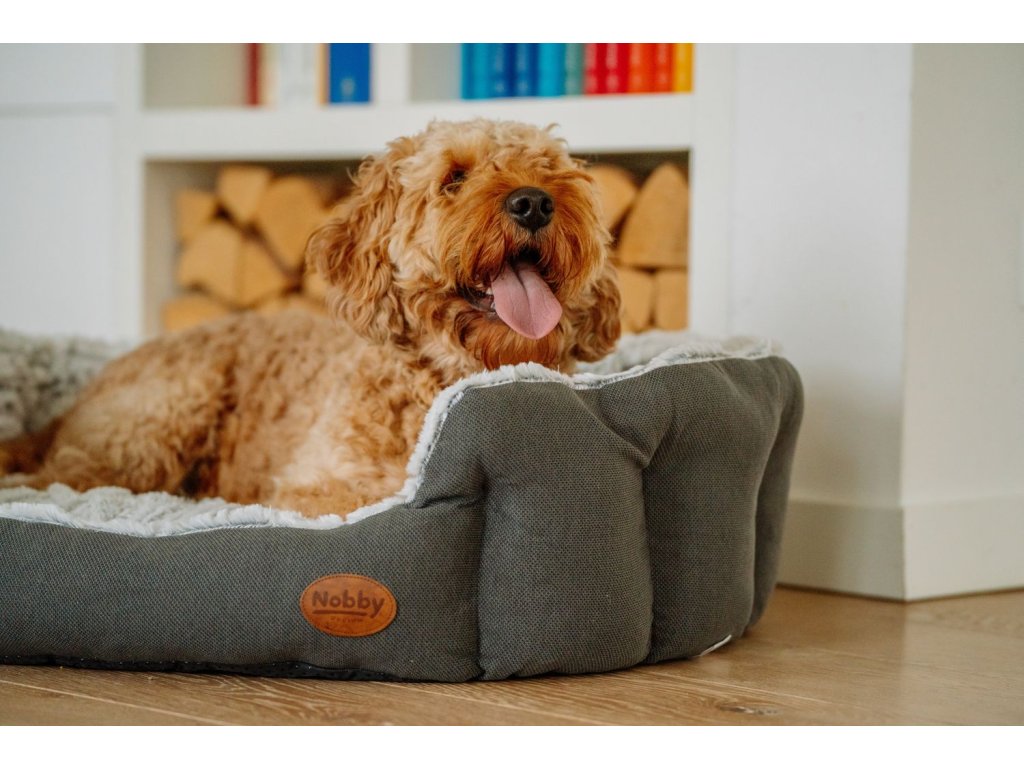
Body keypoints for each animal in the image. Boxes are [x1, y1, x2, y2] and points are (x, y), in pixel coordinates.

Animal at [0, 119, 621, 517]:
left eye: (549, 168)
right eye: (454, 178)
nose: (533, 201)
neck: (437, 381)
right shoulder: (318, 488)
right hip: (160, 420)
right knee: (56, 479)